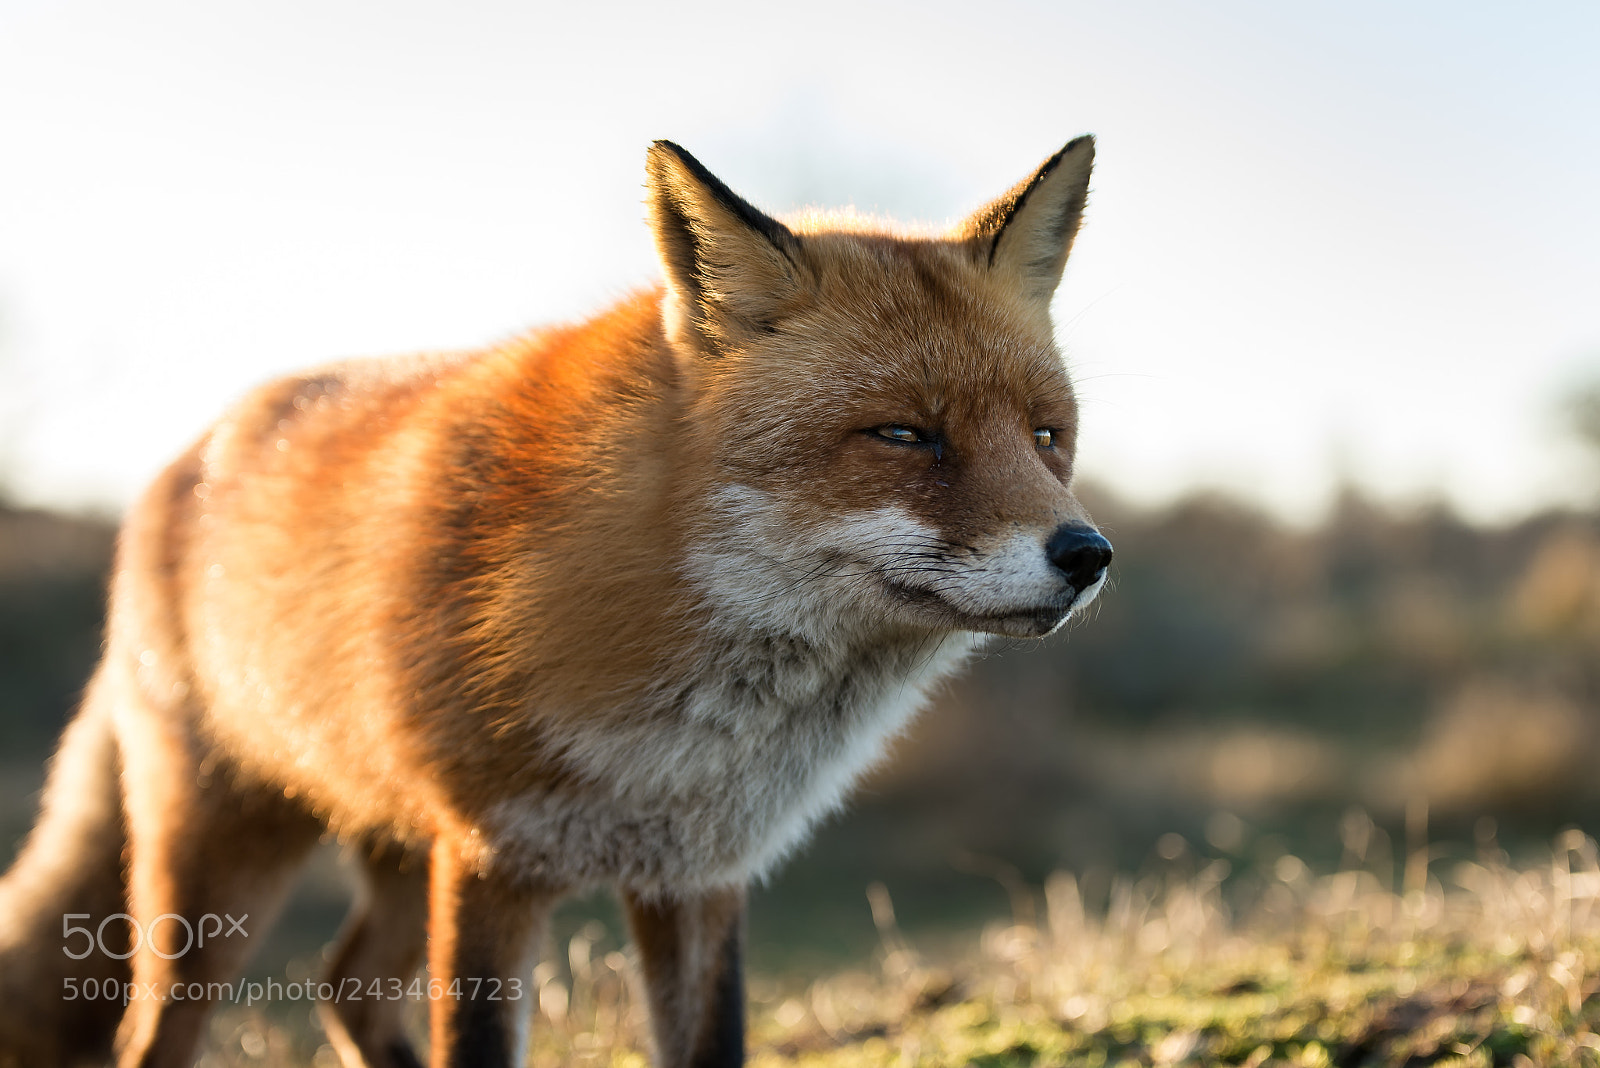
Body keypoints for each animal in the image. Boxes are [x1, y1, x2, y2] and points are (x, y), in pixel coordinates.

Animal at [0, 136, 1112, 1068]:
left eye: (1046, 435)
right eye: (905, 435)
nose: (1088, 554)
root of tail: (181, 457)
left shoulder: (696, 876)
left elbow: (709, 1048)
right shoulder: (492, 862)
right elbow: (480, 1047)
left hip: (396, 847)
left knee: (345, 986)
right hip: (220, 860)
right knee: (160, 1035)